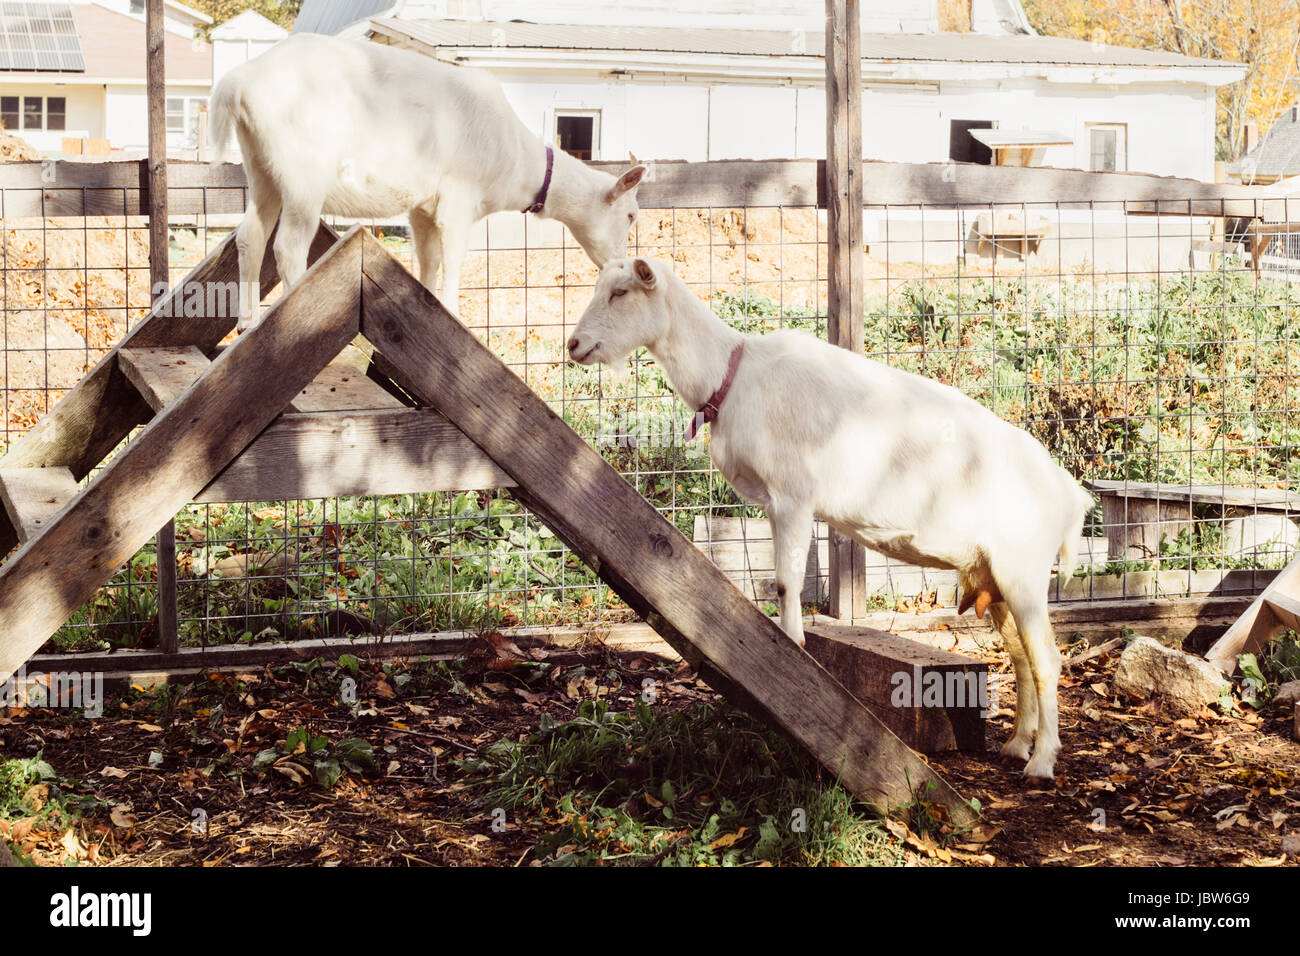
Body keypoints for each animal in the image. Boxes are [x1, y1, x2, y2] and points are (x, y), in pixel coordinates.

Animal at [210, 33, 647, 330]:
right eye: (630, 215)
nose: (619, 264)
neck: (517, 162)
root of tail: (238, 82)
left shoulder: (422, 208)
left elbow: (429, 259)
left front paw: (428, 305)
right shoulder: (459, 201)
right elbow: (454, 260)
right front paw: (454, 314)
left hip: (261, 167)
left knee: (250, 235)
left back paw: (247, 322)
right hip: (304, 176)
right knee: (287, 246)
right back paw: (294, 310)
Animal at [568, 257, 1095, 780]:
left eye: (620, 292)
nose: (573, 344)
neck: (734, 375)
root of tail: (1069, 494)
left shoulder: (793, 497)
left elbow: (786, 583)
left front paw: (792, 650)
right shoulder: (776, 503)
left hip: (1023, 569)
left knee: (1047, 659)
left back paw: (1042, 762)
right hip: (993, 575)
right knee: (1022, 657)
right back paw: (1016, 745)